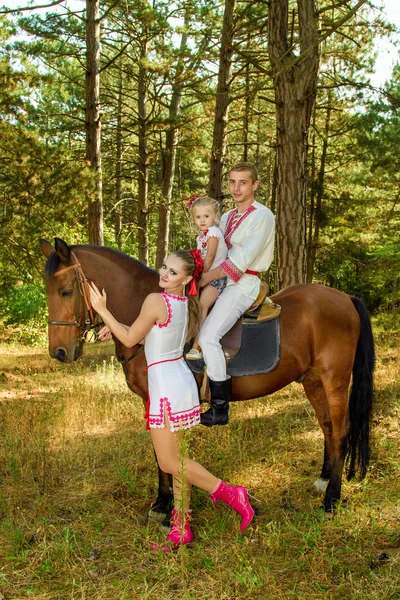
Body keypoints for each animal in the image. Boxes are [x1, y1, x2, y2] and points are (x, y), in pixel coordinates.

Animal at [39, 239, 376, 516]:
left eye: (66, 291)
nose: (59, 352)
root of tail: (346, 298)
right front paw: (165, 502)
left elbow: (163, 452)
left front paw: (165, 505)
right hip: (313, 380)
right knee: (328, 428)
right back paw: (322, 481)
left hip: (335, 380)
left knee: (341, 432)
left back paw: (332, 499)